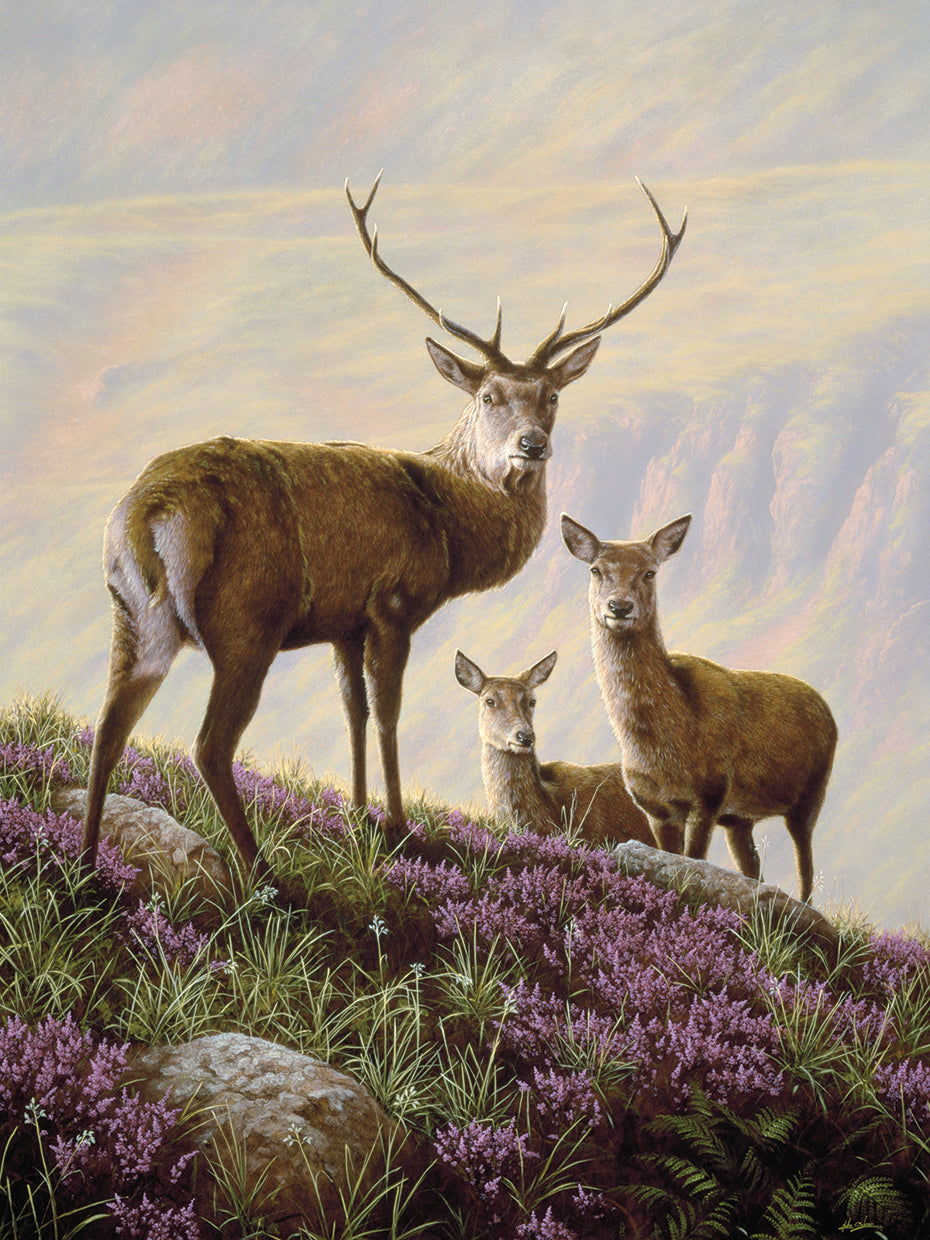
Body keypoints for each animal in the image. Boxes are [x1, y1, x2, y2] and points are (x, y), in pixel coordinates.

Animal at [560, 512, 837, 902]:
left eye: (650, 572)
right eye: (596, 570)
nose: (619, 606)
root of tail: (826, 706)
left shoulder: (709, 795)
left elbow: (693, 864)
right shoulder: (655, 808)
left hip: (812, 792)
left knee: (806, 868)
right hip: (740, 819)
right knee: (754, 868)